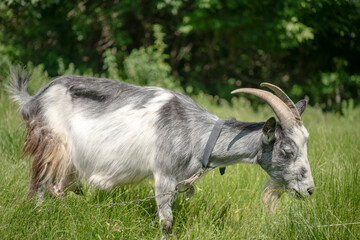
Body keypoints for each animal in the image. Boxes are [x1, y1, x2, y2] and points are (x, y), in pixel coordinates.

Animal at [7, 66, 314, 233]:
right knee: (39, 187)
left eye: (306, 144)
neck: (197, 132)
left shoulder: (178, 181)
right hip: (52, 144)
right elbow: (166, 222)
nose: (310, 190)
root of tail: (31, 99)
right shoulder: (164, 175)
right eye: (287, 150)